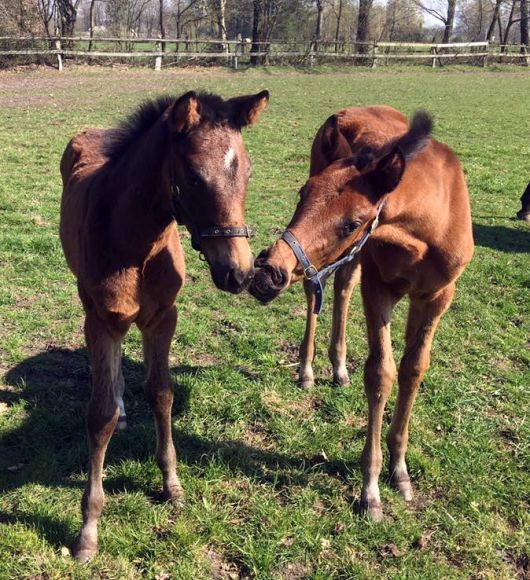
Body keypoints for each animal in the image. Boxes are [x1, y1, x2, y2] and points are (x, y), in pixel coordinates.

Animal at [59, 88, 268, 560]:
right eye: (192, 176)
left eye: (247, 170)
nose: (240, 273)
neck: (135, 244)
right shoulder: (101, 322)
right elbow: (100, 415)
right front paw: (88, 530)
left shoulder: (162, 318)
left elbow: (162, 393)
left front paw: (172, 485)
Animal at [250, 106, 472, 520]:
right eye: (302, 193)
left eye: (352, 222)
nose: (266, 273)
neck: (427, 226)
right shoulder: (379, 287)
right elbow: (381, 373)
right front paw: (371, 489)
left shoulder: (437, 296)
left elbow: (413, 368)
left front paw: (400, 471)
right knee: (316, 288)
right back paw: (307, 370)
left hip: (353, 258)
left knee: (341, 286)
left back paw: (338, 368)